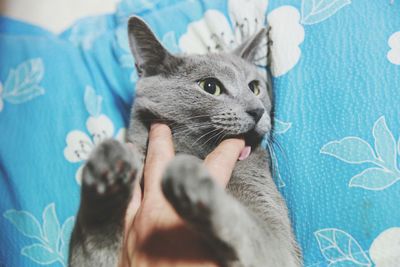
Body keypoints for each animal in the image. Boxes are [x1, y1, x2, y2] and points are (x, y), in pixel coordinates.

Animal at [68, 16, 300, 267]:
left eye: (255, 87)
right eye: (210, 86)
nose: (257, 110)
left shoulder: (279, 244)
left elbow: (250, 228)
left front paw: (190, 179)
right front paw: (108, 170)